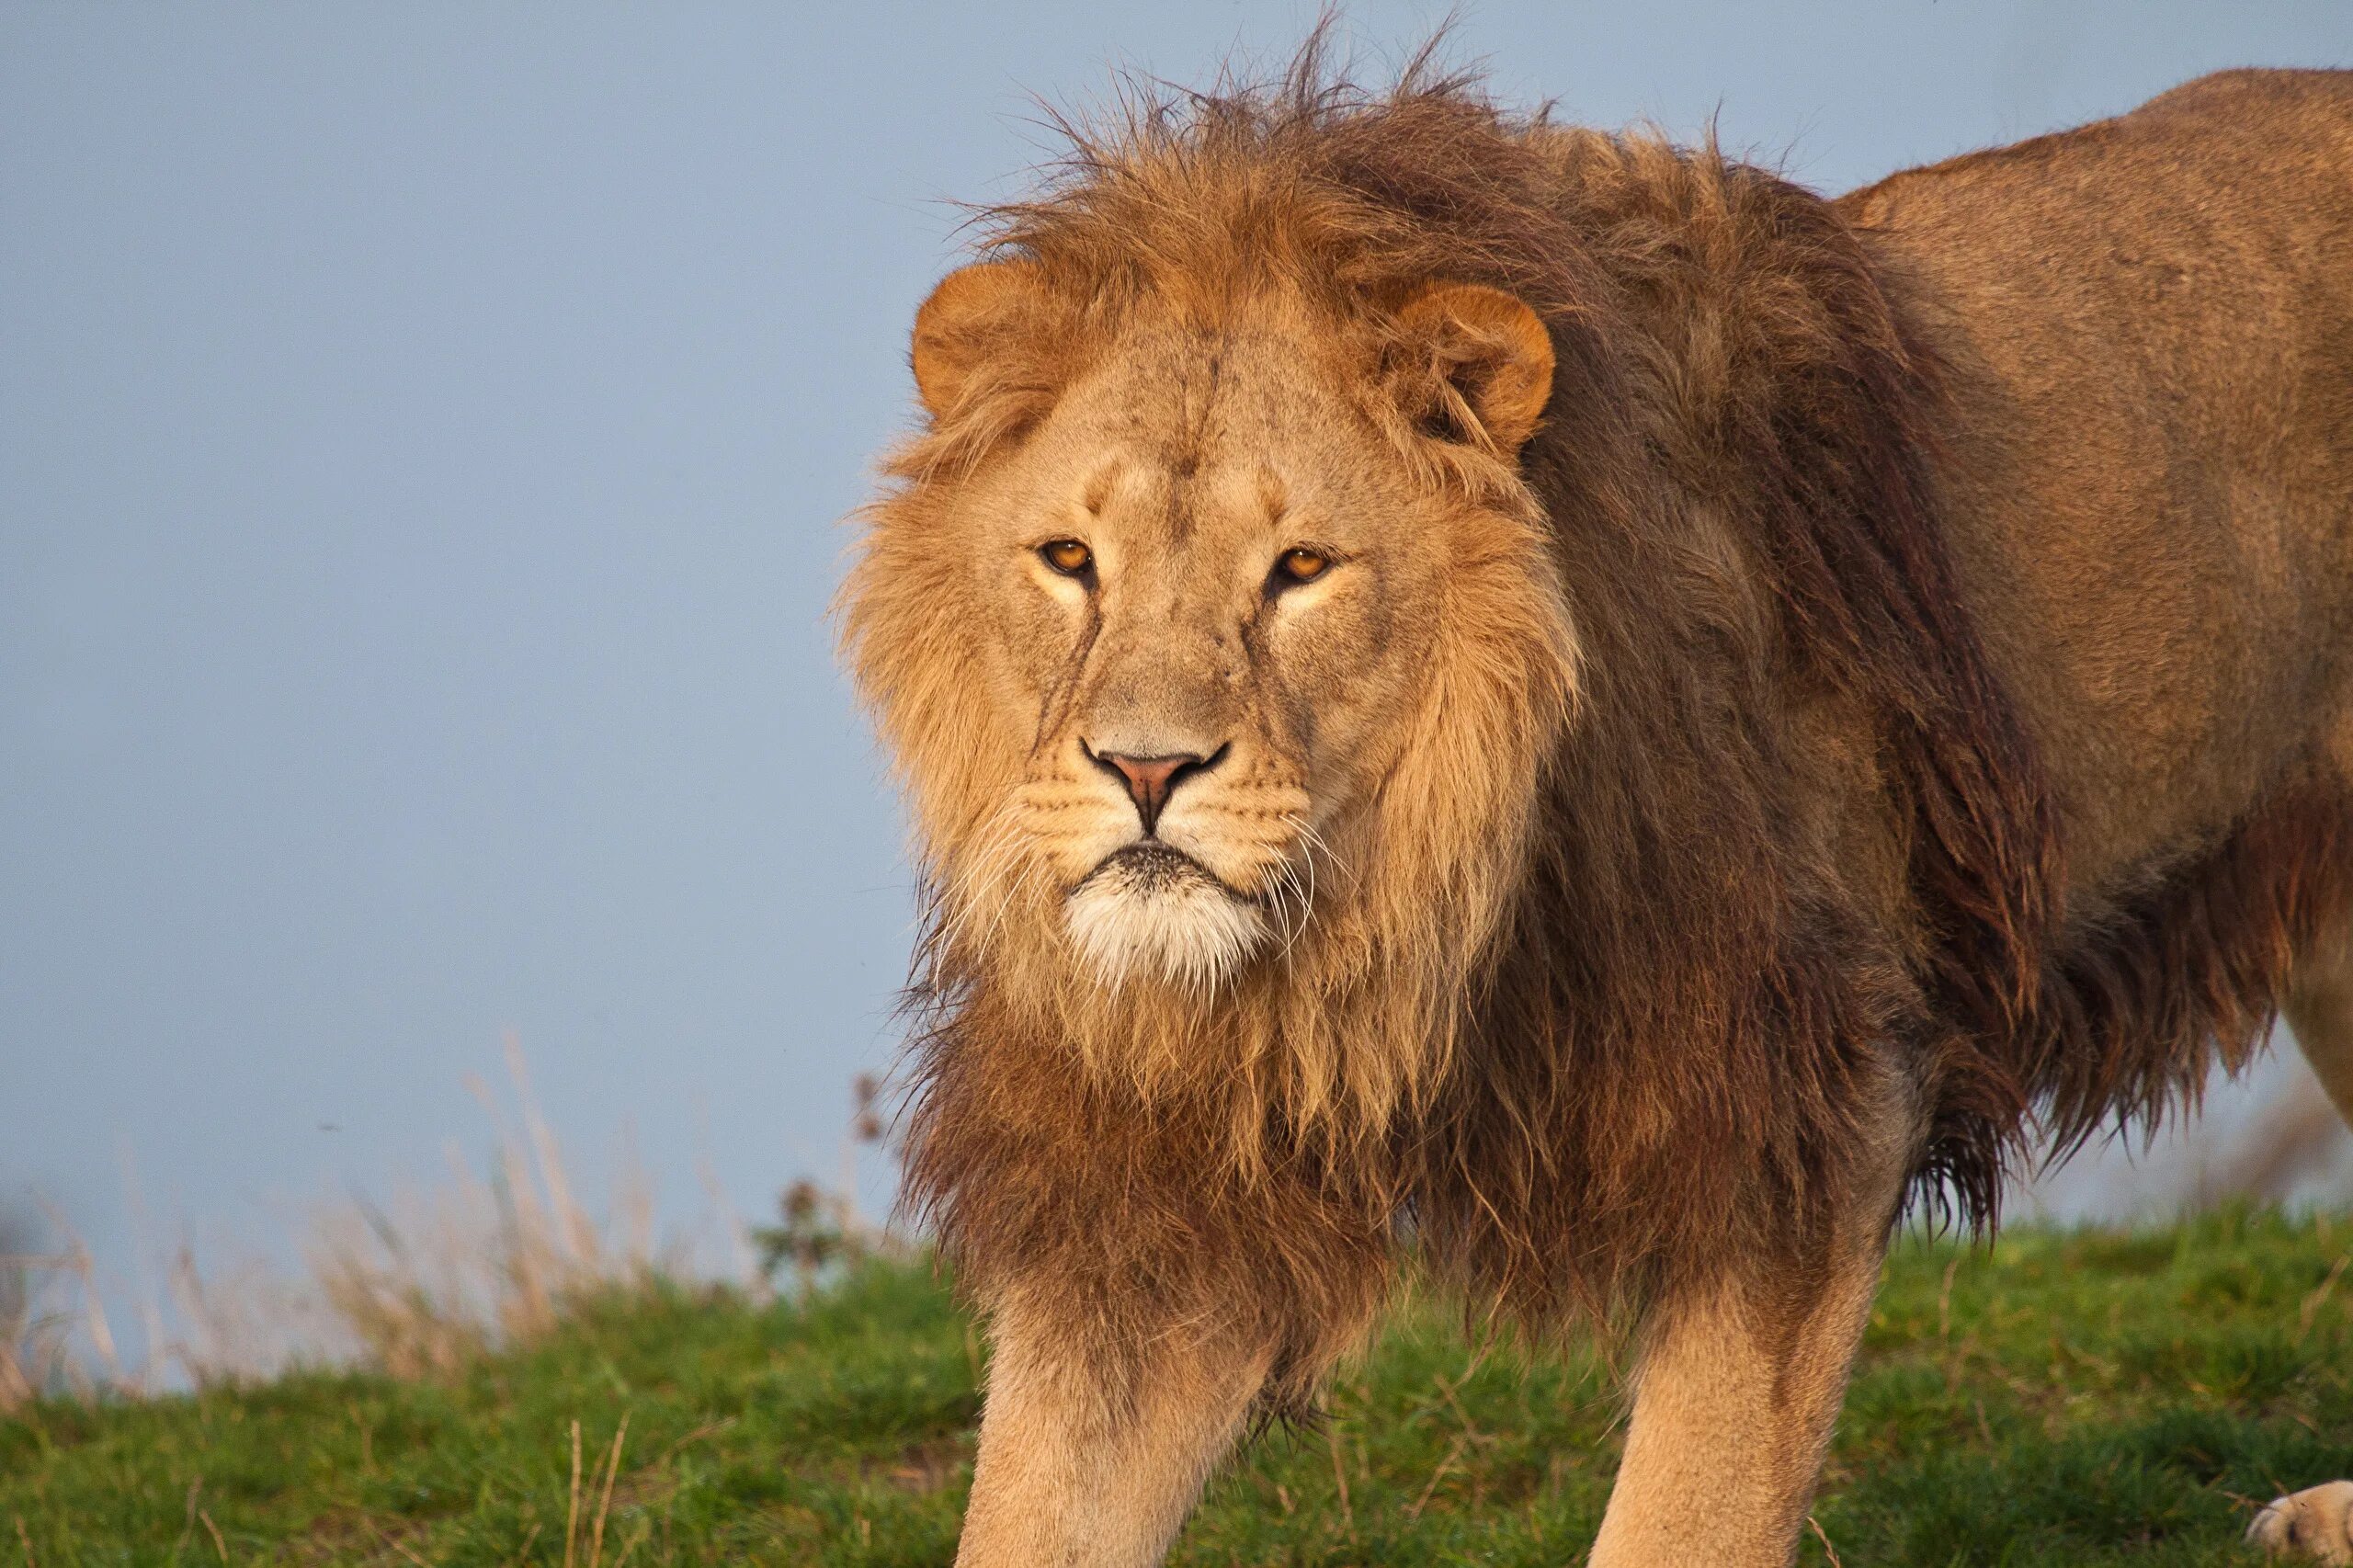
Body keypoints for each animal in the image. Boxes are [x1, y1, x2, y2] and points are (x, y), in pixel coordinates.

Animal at [837, 51, 2353, 1562]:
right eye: (1069, 559)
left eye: (1303, 567)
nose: (1145, 773)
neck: (1408, 919)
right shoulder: (1153, 1198)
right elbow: (1033, 1506)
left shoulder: (1810, 1112)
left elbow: (1687, 1513)